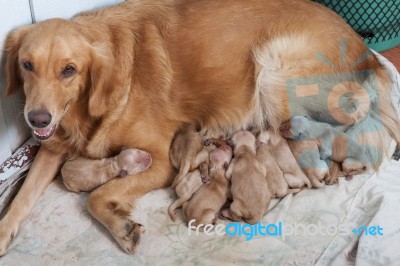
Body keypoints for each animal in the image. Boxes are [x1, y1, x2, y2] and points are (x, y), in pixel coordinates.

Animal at [0, 0, 400, 255]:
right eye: (26, 65)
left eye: (69, 70)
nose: (37, 119)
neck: (87, 108)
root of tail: (368, 53)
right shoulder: (51, 146)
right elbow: (20, 199)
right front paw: (4, 233)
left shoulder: (160, 162)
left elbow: (97, 197)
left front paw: (121, 226)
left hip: (274, 70)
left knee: (348, 126)